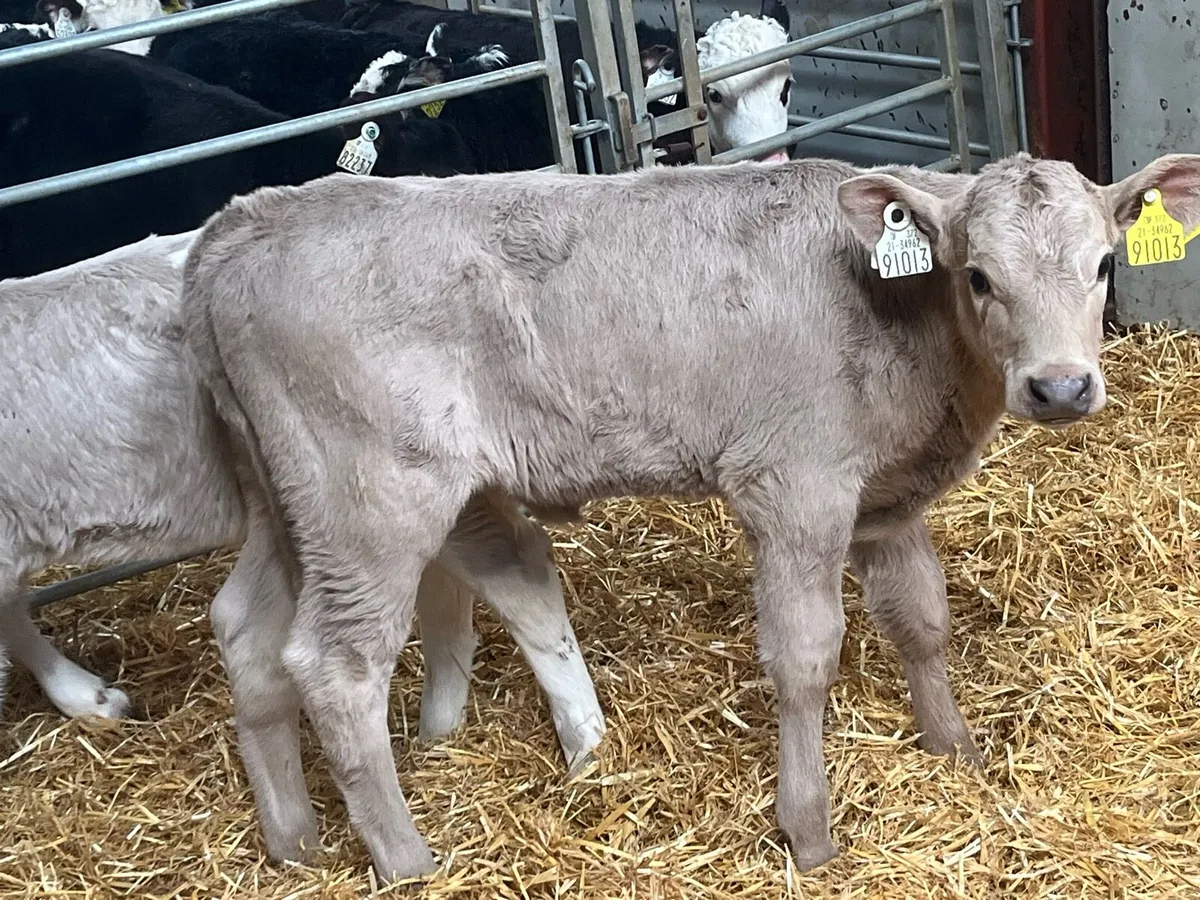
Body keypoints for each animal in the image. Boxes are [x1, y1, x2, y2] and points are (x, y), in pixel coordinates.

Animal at [179, 149, 1200, 880]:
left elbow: (920, 618)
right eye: (980, 276)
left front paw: (954, 749)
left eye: (1103, 264)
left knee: (246, 630)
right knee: (336, 665)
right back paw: (406, 861)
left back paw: (294, 840)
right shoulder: (795, 488)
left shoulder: (884, 499)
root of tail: (247, 219)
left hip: (287, 502)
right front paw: (809, 830)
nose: (1060, 386)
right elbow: (805, 654)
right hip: (371, 500)